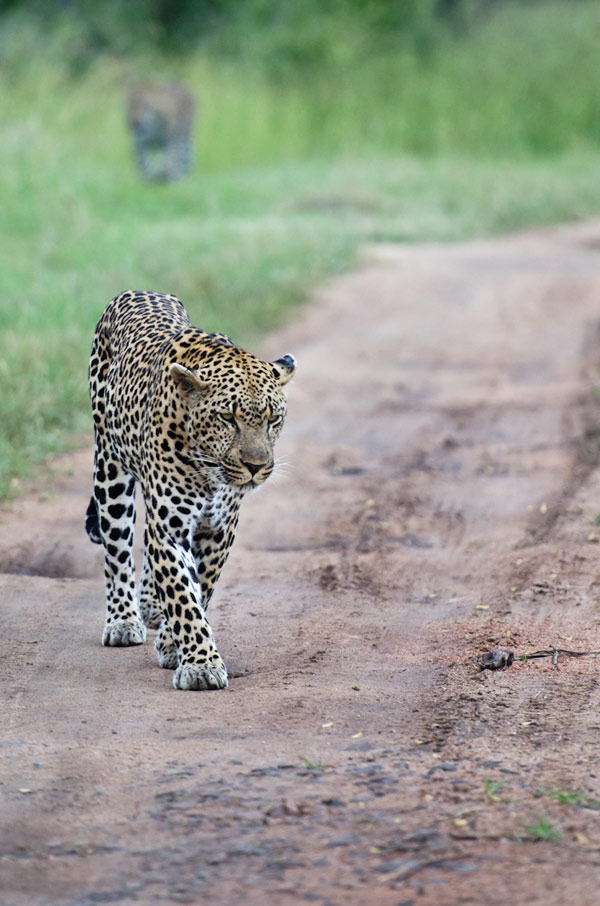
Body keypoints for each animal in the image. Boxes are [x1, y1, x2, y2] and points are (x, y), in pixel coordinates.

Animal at [86, 291, 296, 690]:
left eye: (273, 419)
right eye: (227, 418)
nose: (256, 466)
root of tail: (138, 291)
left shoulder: (219, 529)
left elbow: (201, 587)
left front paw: (172, 644)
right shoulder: (169, 528)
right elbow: (184, 596)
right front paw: (201, 666)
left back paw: (151, 607)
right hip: (110, 470)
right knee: (117, 552)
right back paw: (123, 619)